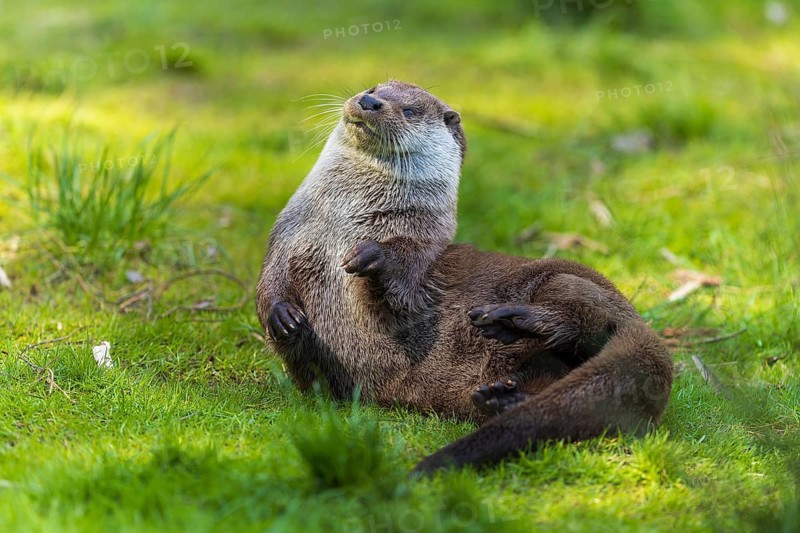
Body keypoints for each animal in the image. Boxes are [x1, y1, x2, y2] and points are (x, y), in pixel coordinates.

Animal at [256, 81, 673, 474]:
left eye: (409, 110)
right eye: (374, 88)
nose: (370, 101)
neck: (339, 227)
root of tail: (639, 321)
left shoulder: (421, 254)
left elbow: (402, 286)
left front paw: (374, 254)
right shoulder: (287, 238)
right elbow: (271, 286)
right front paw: (282, 316)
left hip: (566, 278)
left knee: (584, 320)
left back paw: (507, 319)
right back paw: (502, 397)